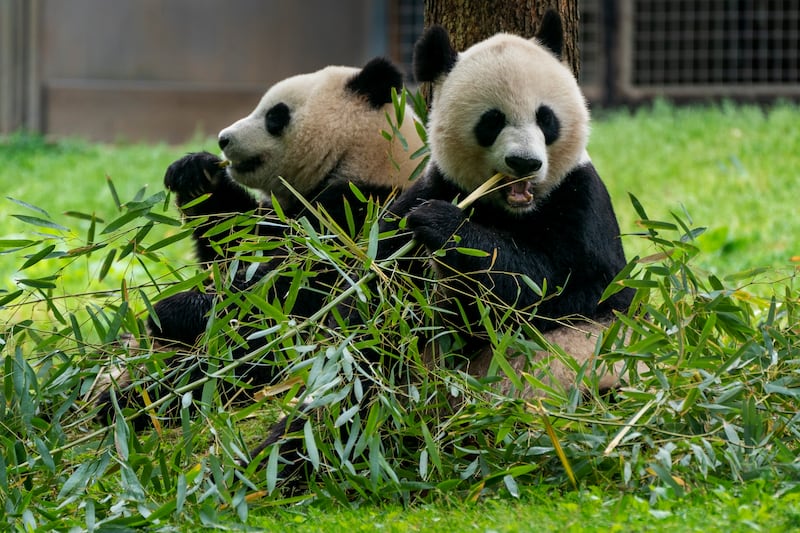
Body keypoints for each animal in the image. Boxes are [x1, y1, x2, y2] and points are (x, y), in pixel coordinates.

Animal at [94, 57, 424, 427]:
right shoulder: (283, 214)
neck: (365, 158)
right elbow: (233, 243)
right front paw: (195, 172)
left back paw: (129, 402)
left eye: (274, 115)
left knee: (225, 369)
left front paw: (171, 310)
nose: (223, 139)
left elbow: (291, 294)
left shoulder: (362, 217)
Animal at [247, 10, 635, 483]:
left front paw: (444, 226)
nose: (525, 163)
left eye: (546, 119)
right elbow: (374, 305)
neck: (509, 210)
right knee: (346, 402)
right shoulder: (424, 193)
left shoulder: (582, 203)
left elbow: (562, 288)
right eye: (492, 121)